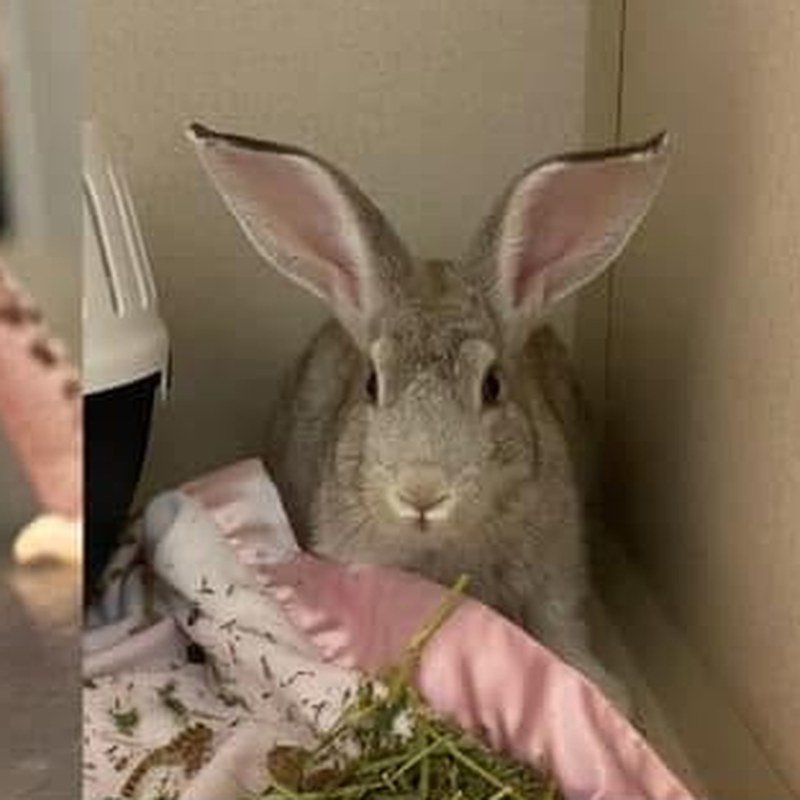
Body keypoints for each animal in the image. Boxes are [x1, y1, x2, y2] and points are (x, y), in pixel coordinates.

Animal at [188, 122, 669, 714]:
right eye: (372, 383)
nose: (422, 493)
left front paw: (606, 693)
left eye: (492, 385)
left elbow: (561, 626)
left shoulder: (558, 569)